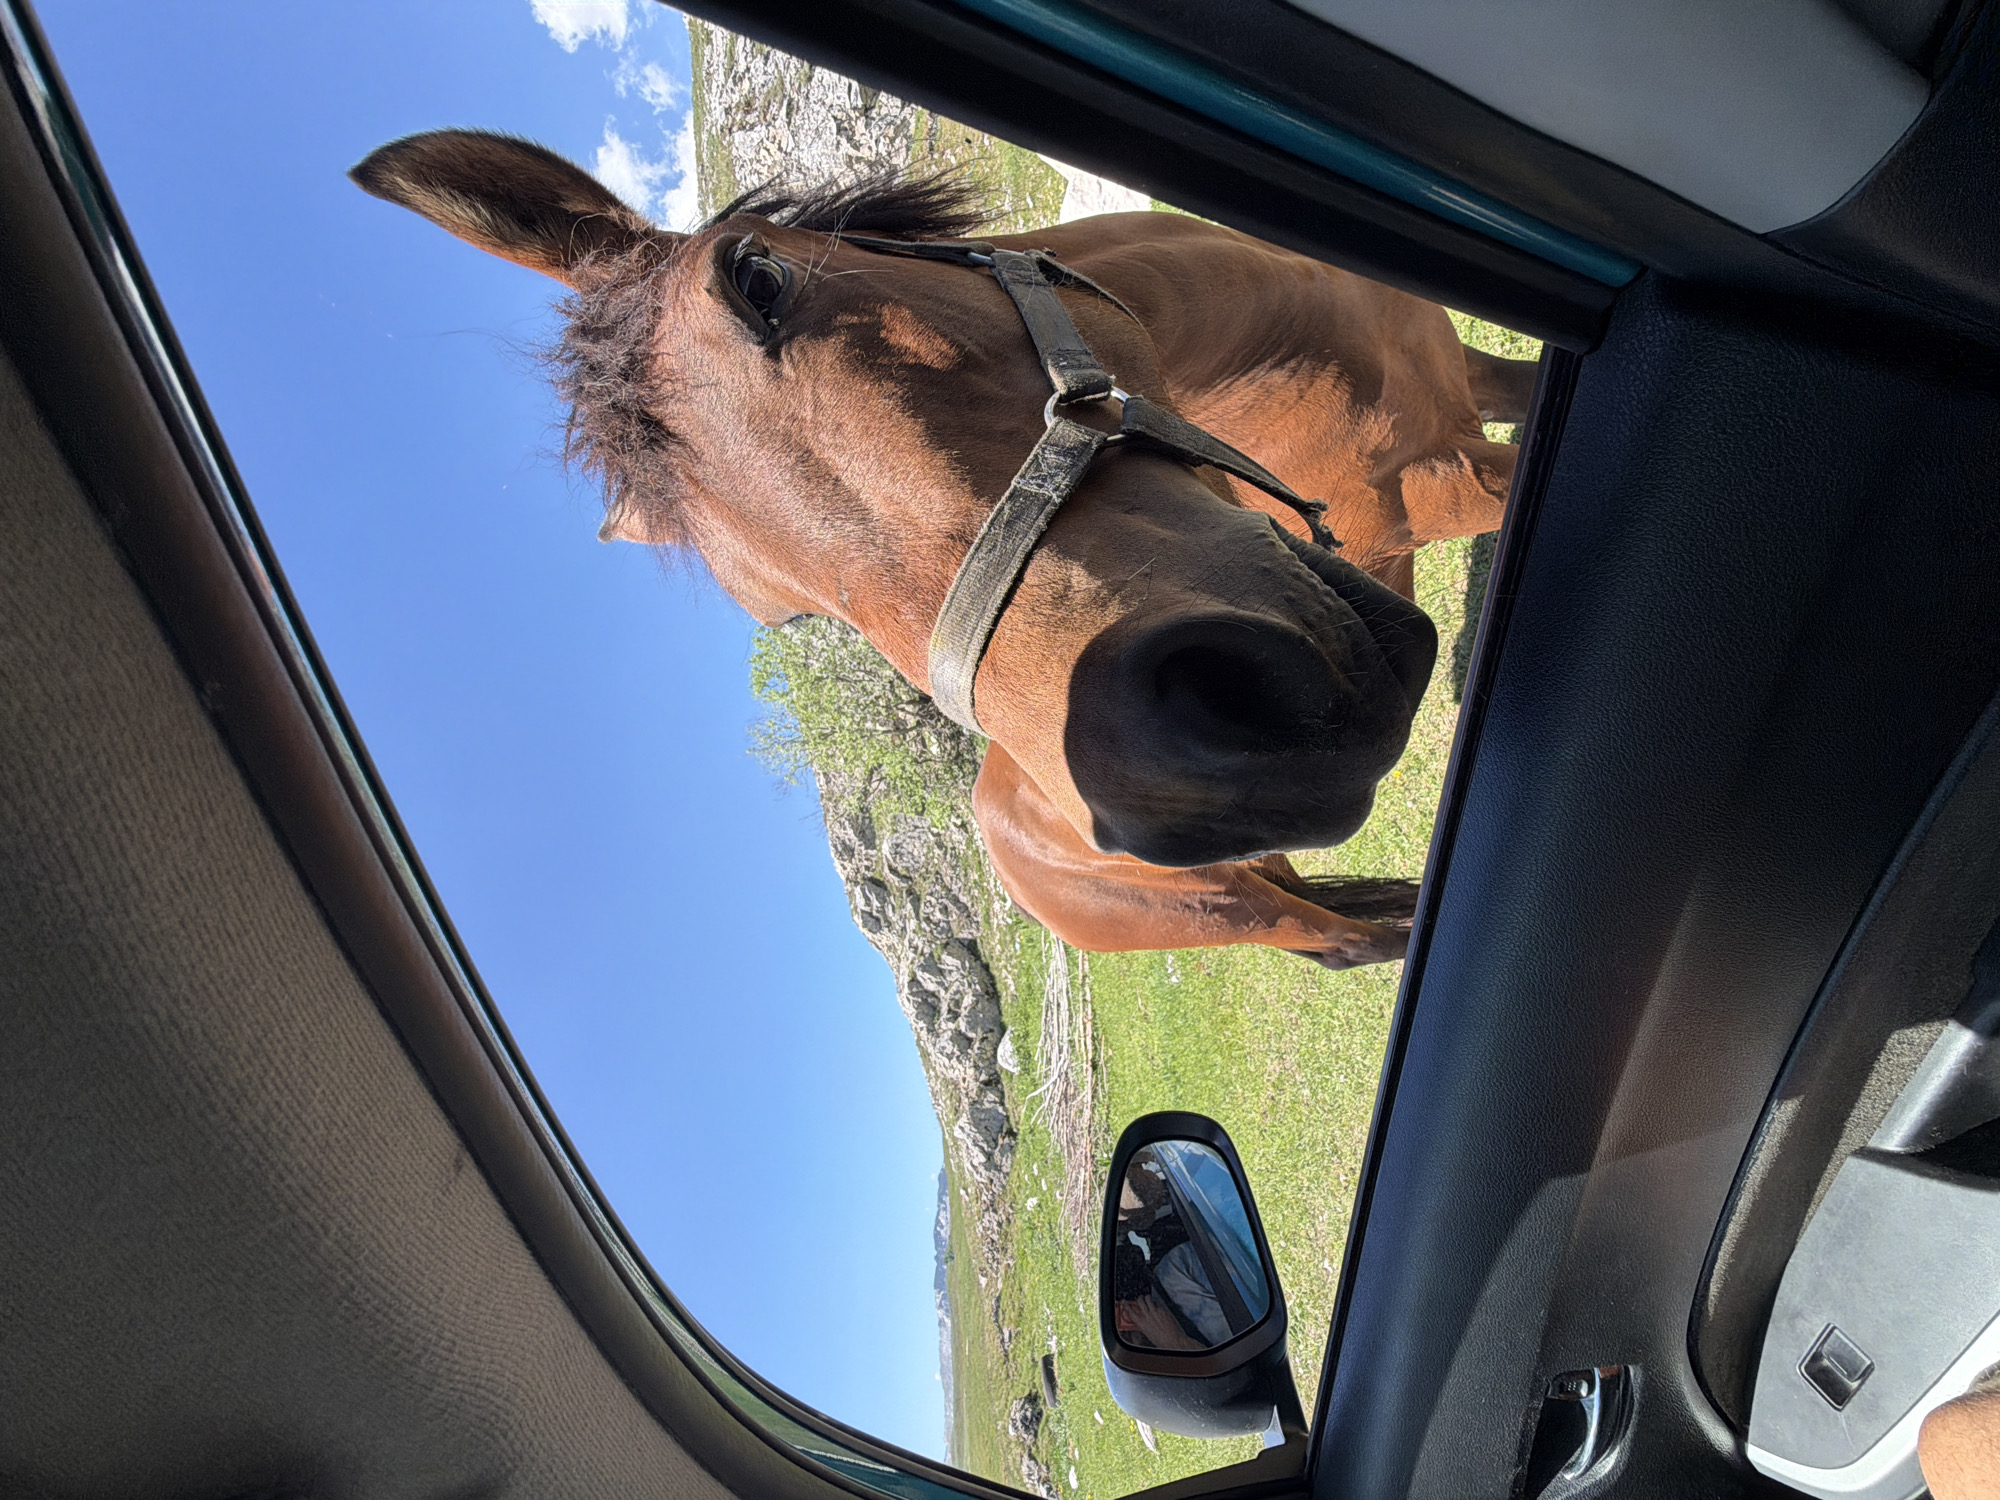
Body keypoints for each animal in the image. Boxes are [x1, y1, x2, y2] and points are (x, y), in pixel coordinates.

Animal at [351, 131, 1532, 969]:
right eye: (789, 613)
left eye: (757, 281)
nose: (1158, 771)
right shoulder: (1438, 492)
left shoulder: (1476, 390)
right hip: (1220, 903)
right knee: (1333, 937)